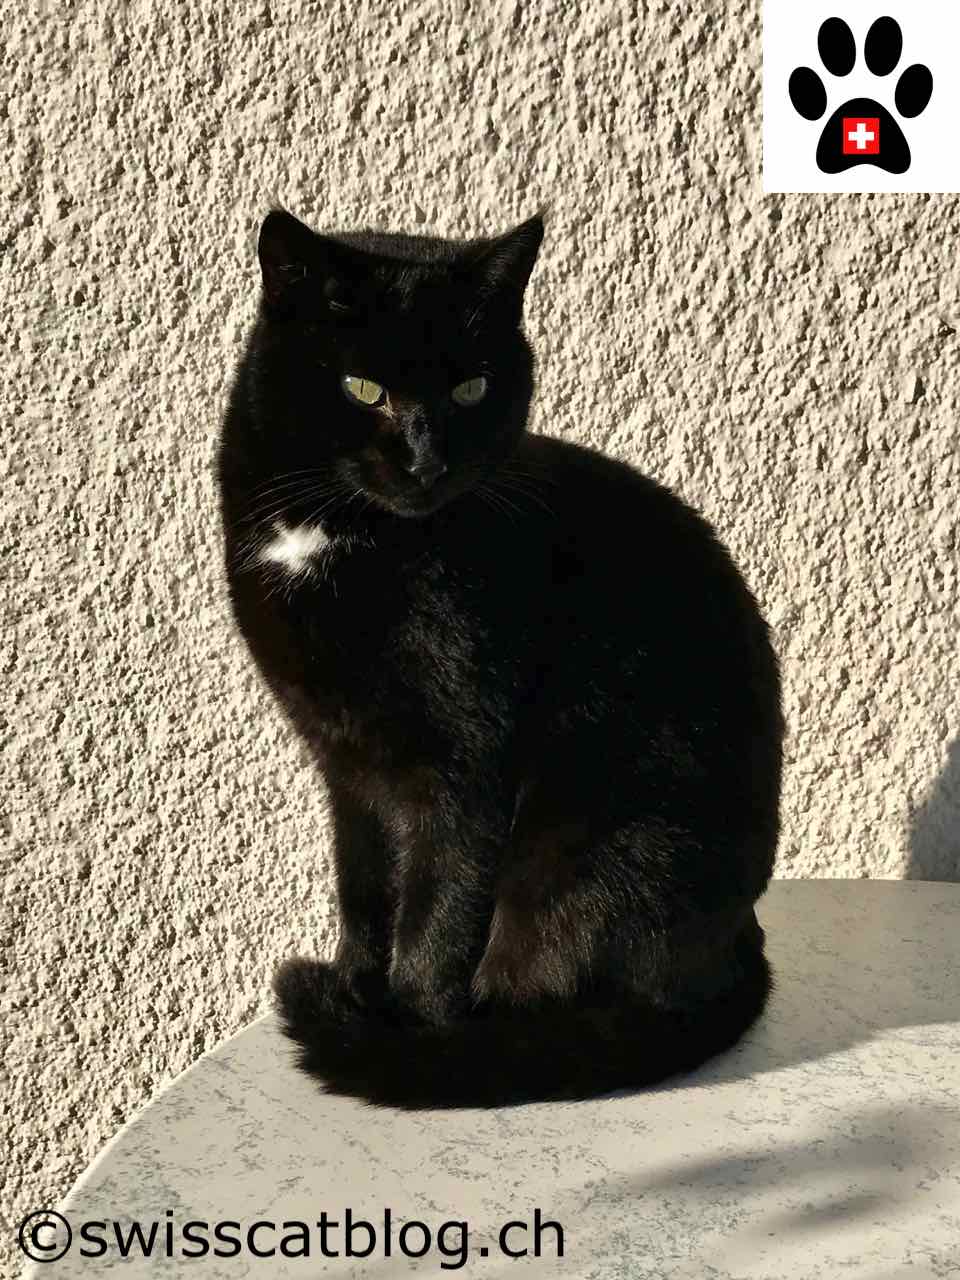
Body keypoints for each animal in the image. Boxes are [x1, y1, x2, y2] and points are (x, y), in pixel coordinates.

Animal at [217, 206, 784, 1109]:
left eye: (471, 389)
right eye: (364, 388)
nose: (427, 459)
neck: (343, 535)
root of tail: (740, 952)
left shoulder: (463, 764)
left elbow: (436, 918)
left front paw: (406, 1043)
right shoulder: (346, 764)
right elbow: (364, 890)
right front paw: (355, 991)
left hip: (591, 852)